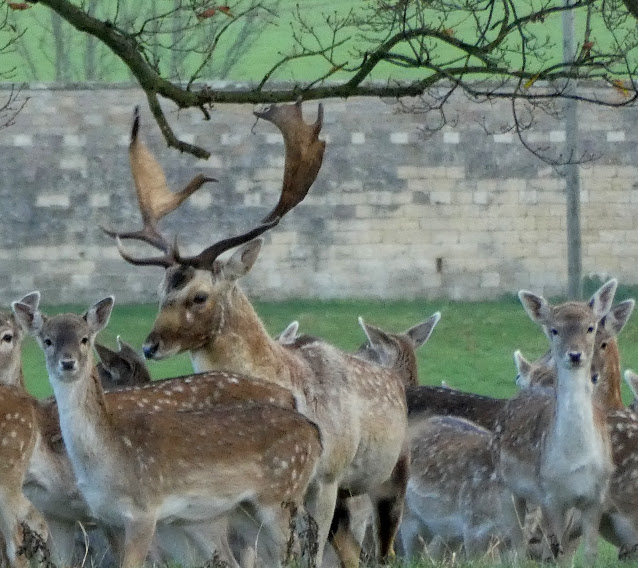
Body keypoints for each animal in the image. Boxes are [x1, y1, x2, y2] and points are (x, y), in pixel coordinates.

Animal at [12, 295, 323, 568]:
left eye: (84, 339)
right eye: (47, 341)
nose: (67, 362)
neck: (108, 453)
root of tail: (314, 431)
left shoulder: (143, 511)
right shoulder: (97, 517)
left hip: (282, 494)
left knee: (295, 551)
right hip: (243, 509)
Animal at [103, 101, 411, 568]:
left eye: (199, 296)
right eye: (159, 292)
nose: (150, 345)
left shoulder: (327, 477)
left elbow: (309, 552)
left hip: (386, 478)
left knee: (379, 545)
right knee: (350, 549)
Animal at [492, 279, 618, 566]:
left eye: (590, 327)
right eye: (554, 330)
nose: (575, 355)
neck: (575, 458)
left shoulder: (596, 495)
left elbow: (589, 554)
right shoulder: (550, 495)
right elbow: (554, 551)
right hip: (506, 486)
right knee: (517, 545)